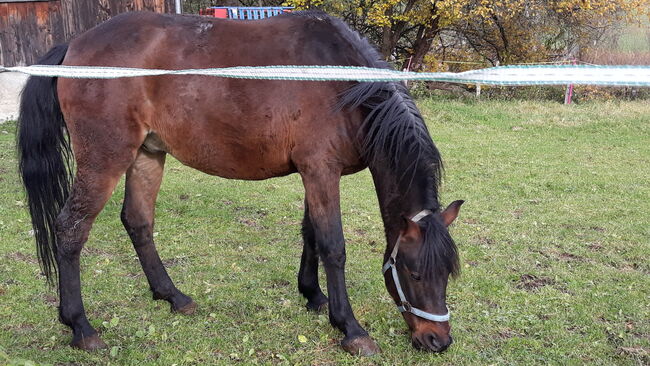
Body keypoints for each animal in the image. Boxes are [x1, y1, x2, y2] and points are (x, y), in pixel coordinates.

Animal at [17, 10, 464, 354]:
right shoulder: (321, 170)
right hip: (105, 159)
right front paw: (350, 328)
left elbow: (310, 235)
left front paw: (313, 295)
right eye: (413, 273)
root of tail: (75, 46)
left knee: (138, 221)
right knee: (71, 230)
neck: (344, 87)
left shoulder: (313, 172)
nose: (437, 341)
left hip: (148, 153)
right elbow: (333, 246)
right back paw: (80, 327)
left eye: (448, 272)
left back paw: (173, 297)